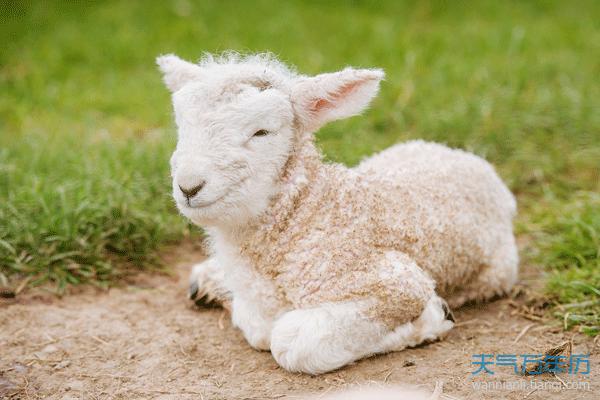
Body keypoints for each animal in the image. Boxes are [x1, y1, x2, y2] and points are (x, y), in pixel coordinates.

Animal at [157, 52, 516, 376]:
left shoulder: (394, 282)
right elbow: (258, 327)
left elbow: (289, 342)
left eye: (262, 132)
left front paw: (431, 319)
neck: (311, 214)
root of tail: (469, 159)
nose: (189, 186)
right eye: (182, 126)